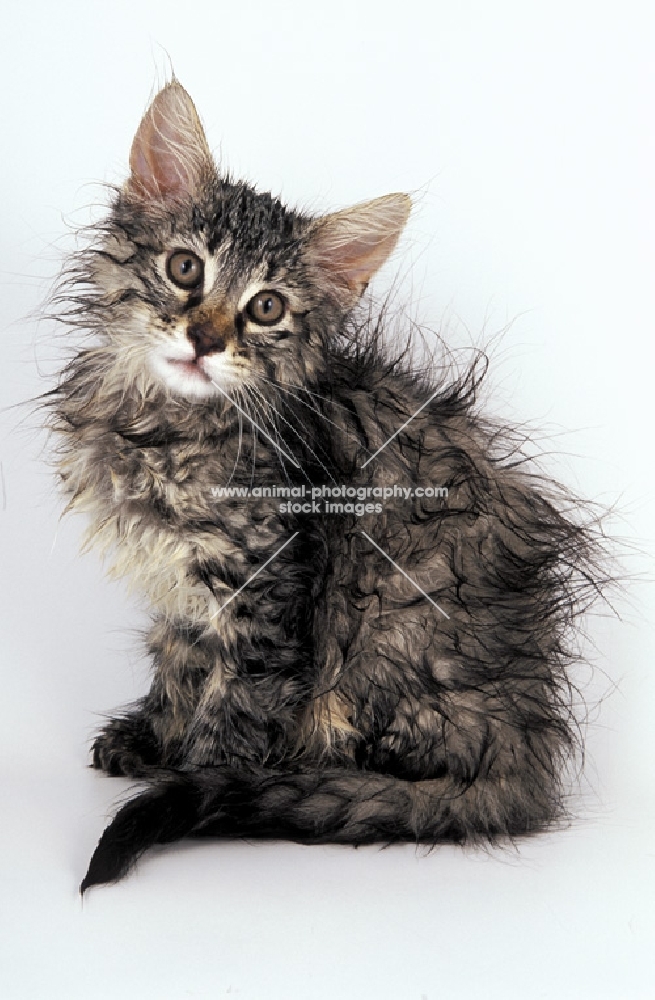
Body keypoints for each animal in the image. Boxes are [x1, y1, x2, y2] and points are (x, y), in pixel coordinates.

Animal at [47, 80, 604, 892]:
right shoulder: (178, 588)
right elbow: (178, 667)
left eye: (266, 308)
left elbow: (233, 710)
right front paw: (151, 739)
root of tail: (520, 757)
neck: (168, 424)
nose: (205, 339)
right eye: (185, 269)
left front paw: (192, 778)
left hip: (383, 639)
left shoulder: (265, 590)